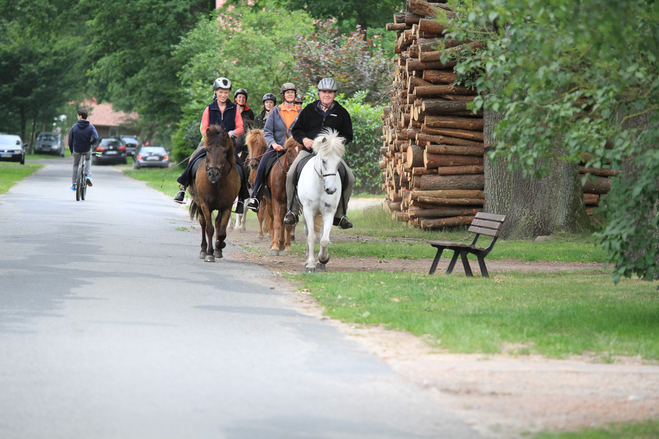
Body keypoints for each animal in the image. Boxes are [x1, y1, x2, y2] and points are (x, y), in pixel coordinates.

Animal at [187, 124, 241, 262]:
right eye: (207, 150)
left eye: (224, 151)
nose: (213, 173)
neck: (217, 184)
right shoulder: (205, 205)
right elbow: (209, 228)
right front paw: (209, 254)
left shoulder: (227, 207)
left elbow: (221, 231)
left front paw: (219, 246)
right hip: (199, 204)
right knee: (203, 223)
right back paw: (203, 250)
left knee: (217, 223)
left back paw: (217, 249)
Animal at [298, 128, 348, 272]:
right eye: (324, 161)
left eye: (338, 162)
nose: (331, 189)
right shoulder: (309, 210)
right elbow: (311, 237)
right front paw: (310, 264)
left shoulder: (328, 212)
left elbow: (324, 239)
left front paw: (323, 259)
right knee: (308, 233)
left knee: (320, 234)